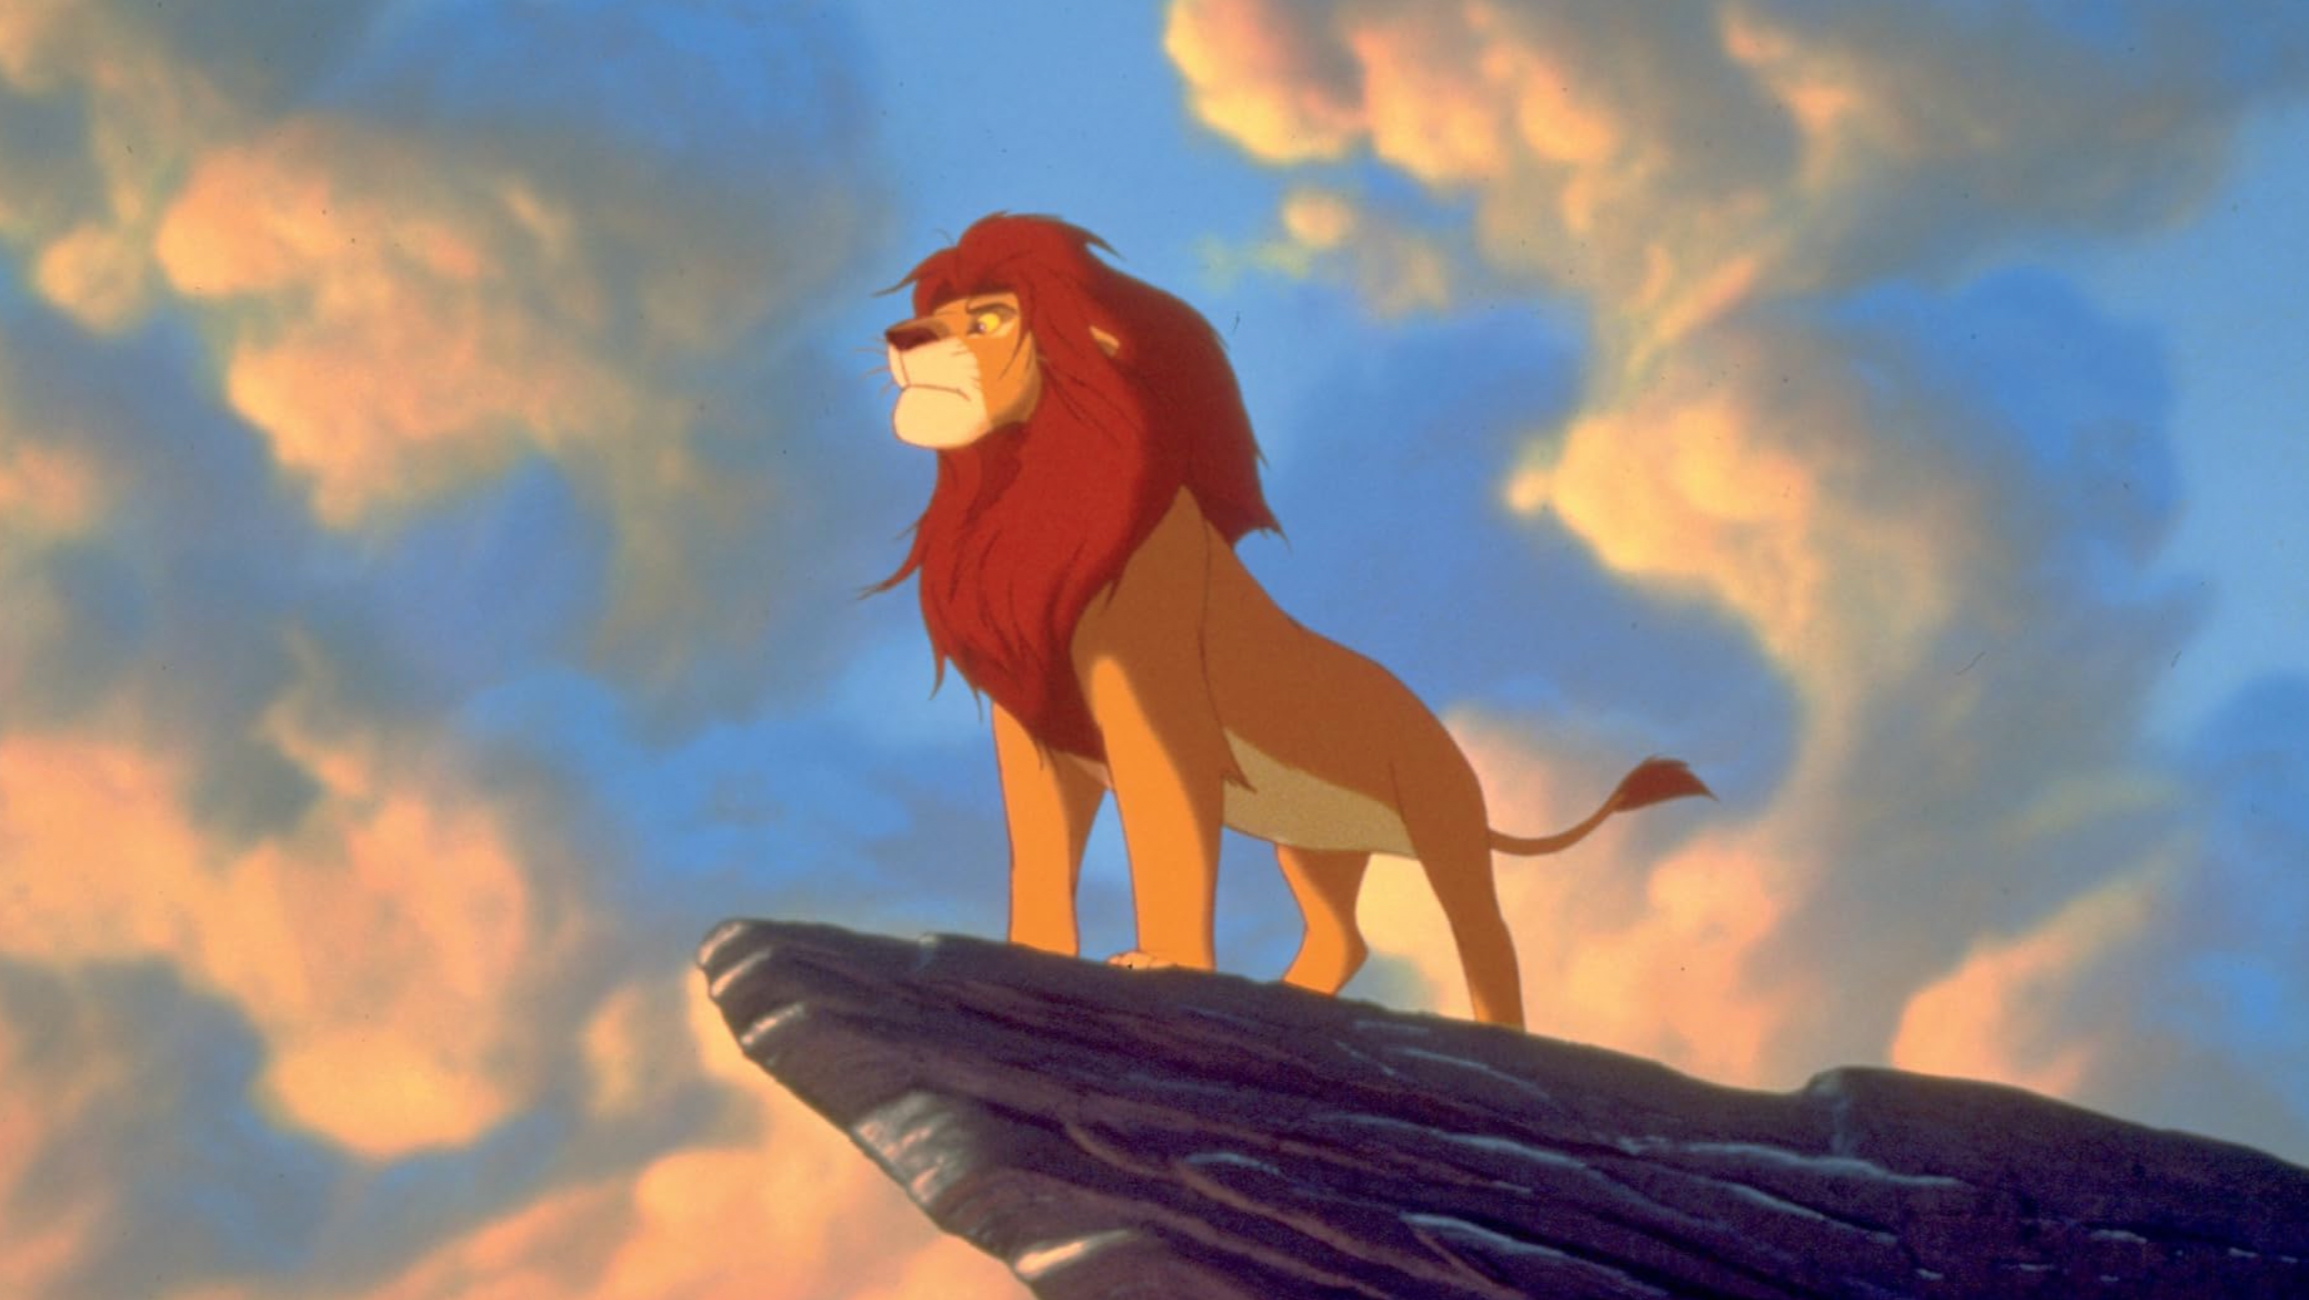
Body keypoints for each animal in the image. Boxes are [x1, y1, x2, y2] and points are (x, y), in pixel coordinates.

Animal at [874, 213, 1708, 1029]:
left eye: (988, 318)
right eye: (935, 310)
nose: (901, 336)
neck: (1020, 492)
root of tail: (1443, 739)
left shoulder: (1158, 706)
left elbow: (1167, 832)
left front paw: (1159, 960)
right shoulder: (1037, 730)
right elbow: (1040, 850)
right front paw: (1033, 950)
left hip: (1443, 830)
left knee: (1488, 941)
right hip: (1315, 847)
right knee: (1346, 939)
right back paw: (1290, 993)